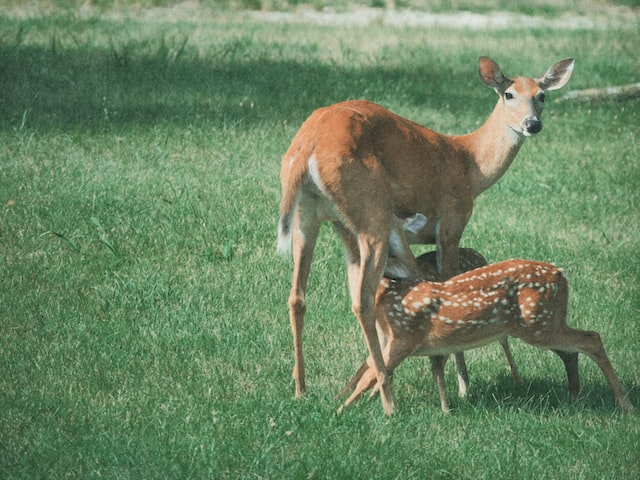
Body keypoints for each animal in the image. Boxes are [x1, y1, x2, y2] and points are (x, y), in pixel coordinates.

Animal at [278, 56, 572, 416]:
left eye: (542, 95)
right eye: (509, 94)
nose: (532, 124)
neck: (471, 164)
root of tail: (307, 146)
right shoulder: (451, 222)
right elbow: (450, 284)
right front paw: (463, 385)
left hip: (312, 217)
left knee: (297, 296)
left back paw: (302, 391)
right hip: (372, 212)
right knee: (362, 301)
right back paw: (388, 401)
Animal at [338, 258, 632, 412]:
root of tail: (562, 275)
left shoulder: (404, 336)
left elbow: (370, 374)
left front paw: (342, 412)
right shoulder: (393, 341)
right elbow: (369, 369)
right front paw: (342, 403)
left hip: (539, 325)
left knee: (591, 339)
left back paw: (624, 403)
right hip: (546, 323)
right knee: (574, 350)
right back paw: (576, 397)